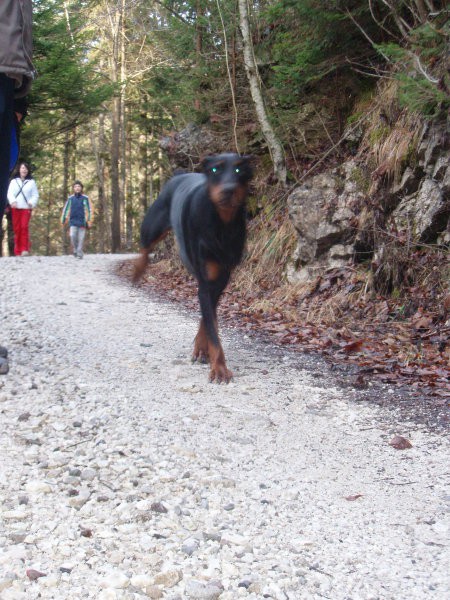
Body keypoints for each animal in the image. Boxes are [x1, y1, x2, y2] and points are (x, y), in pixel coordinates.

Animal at [134, 152, 253, 382]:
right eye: (215, 169)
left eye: (239, 169)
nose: (228, 190)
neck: (222, 224)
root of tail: (179, 174)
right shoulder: (207, 281)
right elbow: (212, 329)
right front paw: (219, 368)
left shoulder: (220, 278)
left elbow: (209, 318)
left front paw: (202, 349)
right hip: (153, 224)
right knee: (145, 246)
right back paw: (137, 271)